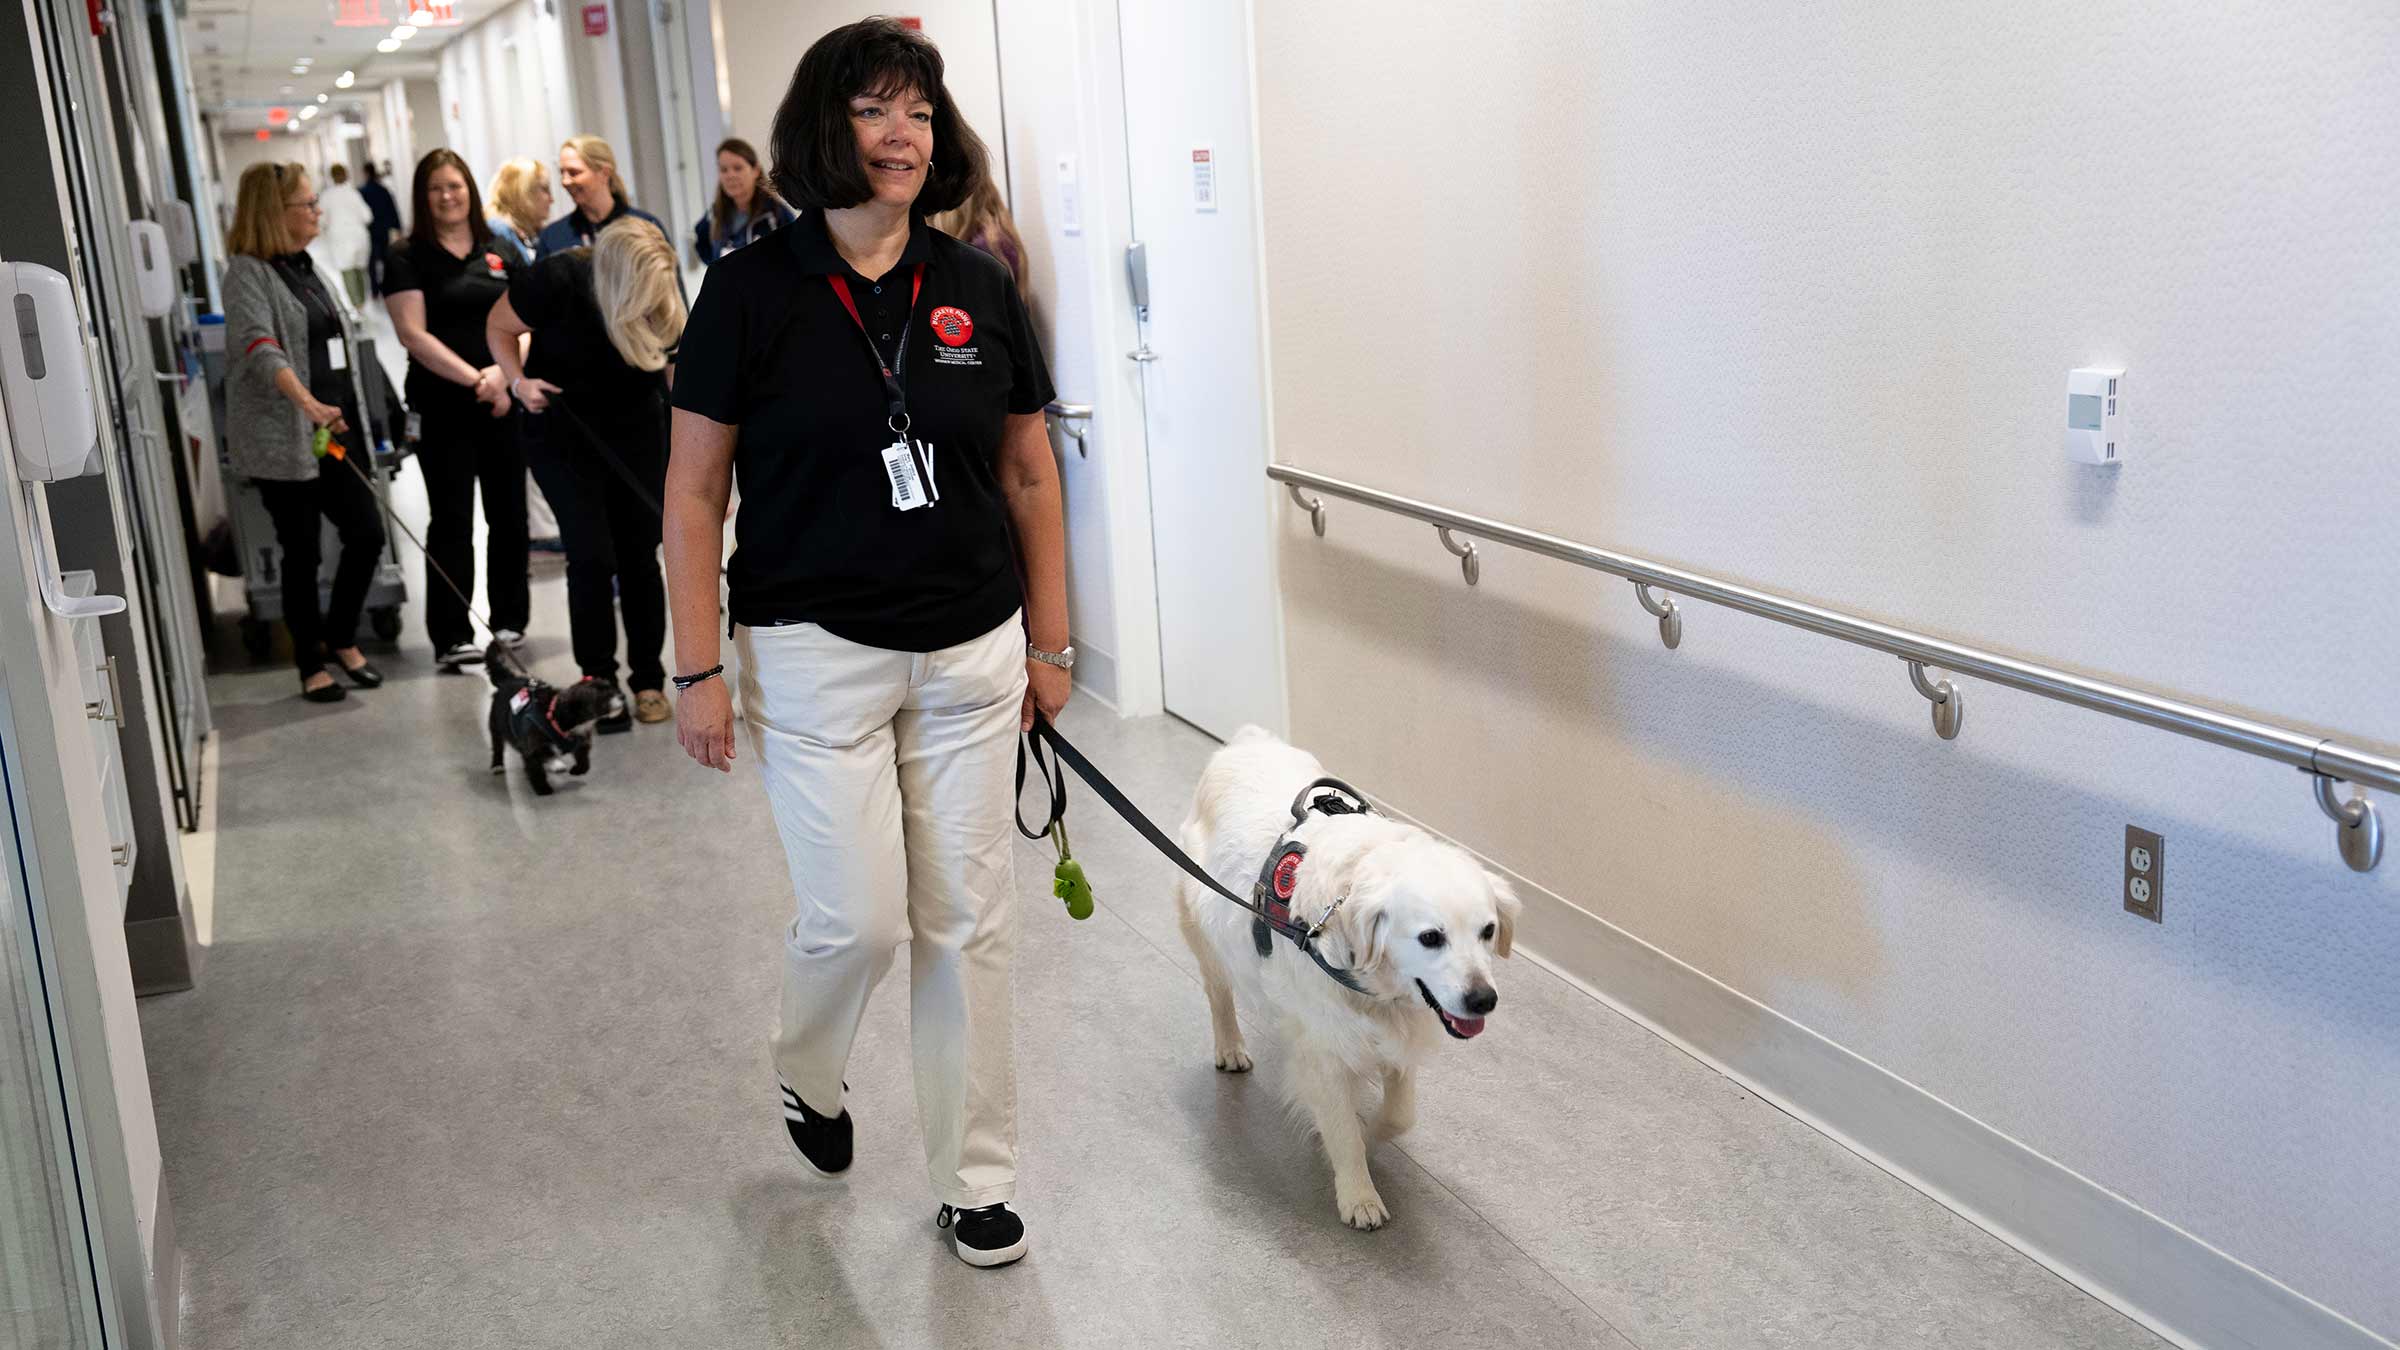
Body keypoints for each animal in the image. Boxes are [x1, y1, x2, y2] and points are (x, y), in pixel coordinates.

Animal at [482, 638, 614, 792]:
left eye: (612, 689)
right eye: (602, 697)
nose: (622, 697)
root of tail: (508, 680)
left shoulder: (582, 741)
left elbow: (583, 758)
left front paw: (578, 769)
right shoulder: (531, 747)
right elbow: (537, 766)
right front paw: (543, 788)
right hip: (496, 726)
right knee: (497, 746)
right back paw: (497, 765)